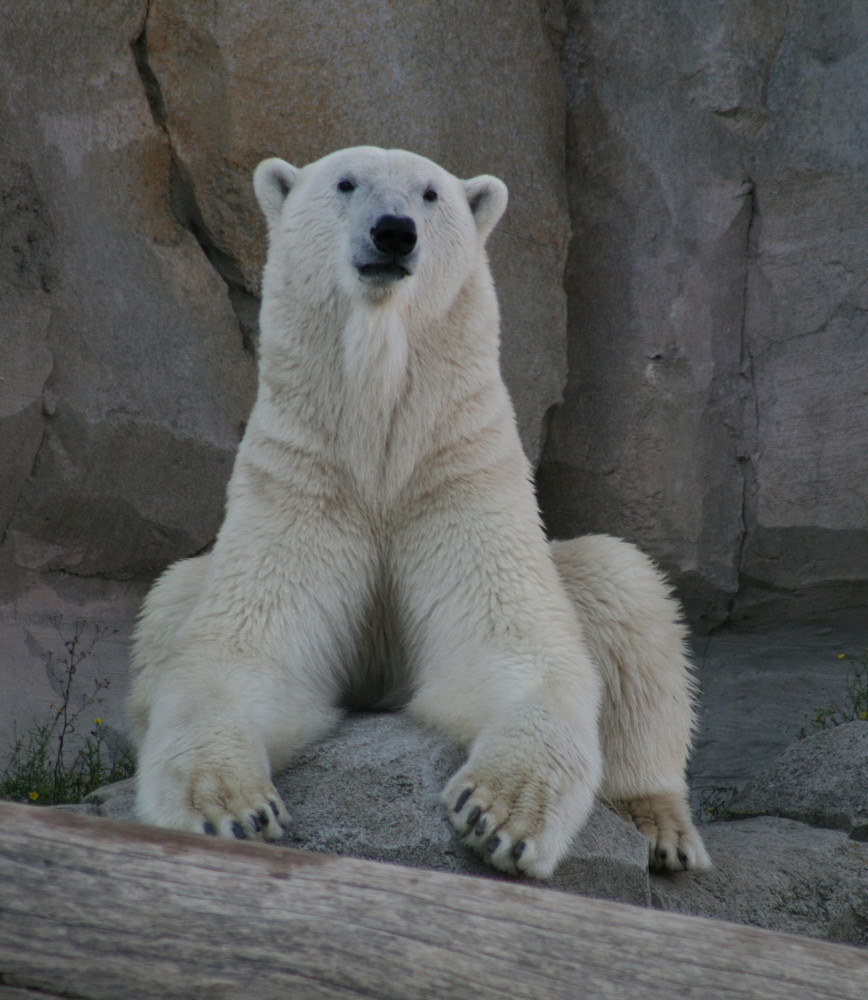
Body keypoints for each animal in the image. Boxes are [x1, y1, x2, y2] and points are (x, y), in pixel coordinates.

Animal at [131, 146, 712, 876]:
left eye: (431, 194)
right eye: (345, 183)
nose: (394, 232)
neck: (380, 449)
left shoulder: (458, 468)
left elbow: (514, 647)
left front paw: (499, 813)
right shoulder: (305, 477)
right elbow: (239, 652)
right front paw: (229, 808)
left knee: (620, 583)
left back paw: (660, 825)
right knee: (171, 598)